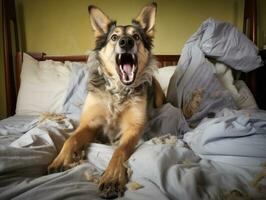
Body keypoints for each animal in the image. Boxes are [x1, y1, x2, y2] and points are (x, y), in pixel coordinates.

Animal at [47, 2, 164, 198]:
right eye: (114, 37)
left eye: (136, 36)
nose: (126, 42)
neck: (118, 91)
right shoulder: (90, 123)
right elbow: (72, 139)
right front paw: (61, 160)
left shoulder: (134, 127)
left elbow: (120, 151)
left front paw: (112, 178)